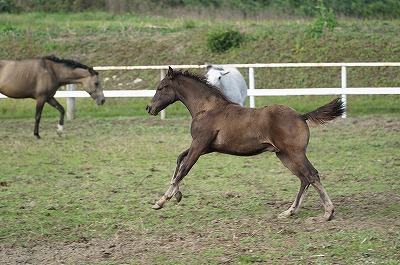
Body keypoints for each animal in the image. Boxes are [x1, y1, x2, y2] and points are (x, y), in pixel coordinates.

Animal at [147, 67, 344, 220]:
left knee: (311, 175)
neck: (207, 109)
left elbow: (184, 169)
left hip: (295, 153)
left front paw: (161, 201)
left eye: (160, 87)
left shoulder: (200, 144)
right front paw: (177, 194)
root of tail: (301, 116)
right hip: (284, 155)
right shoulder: (207, 147)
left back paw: (328, 212)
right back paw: (289, 212)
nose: (149, 108)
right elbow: (180, 159)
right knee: (304, 178)